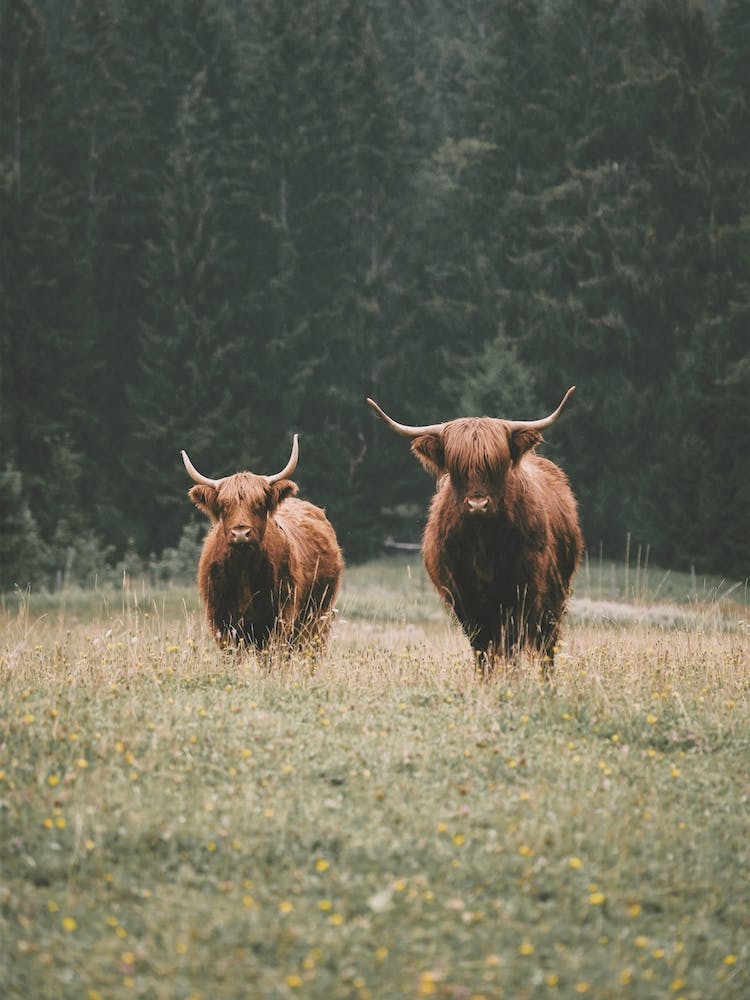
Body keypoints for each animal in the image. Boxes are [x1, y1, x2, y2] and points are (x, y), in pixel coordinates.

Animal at [181, 435, 343, 651]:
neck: (243, 569)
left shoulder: (278, 618)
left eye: (259, 504)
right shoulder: (220, 621)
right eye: (224, 505)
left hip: (318, 616)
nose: (241, 533)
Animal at [367, 388, 583, 674]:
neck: (483, 544)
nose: (477, 504)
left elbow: (511, 643)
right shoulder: (464, 598)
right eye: (456, 467)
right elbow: (481, 647)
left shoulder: (521, 593)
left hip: (555, 595)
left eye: (496, 465)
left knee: (546, 643)